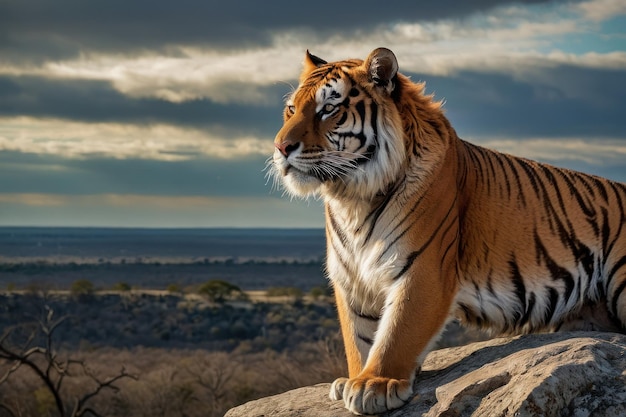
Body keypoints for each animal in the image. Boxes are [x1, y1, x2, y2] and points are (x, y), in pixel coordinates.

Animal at [270, 47, 624, 414]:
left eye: (328, 109)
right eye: (291, 109)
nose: (280, 148)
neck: (351, 197)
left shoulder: (423, 268)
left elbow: (398, 332)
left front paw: (374, 384)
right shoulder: (351, 278)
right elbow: (358, 338)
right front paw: (354, 379)